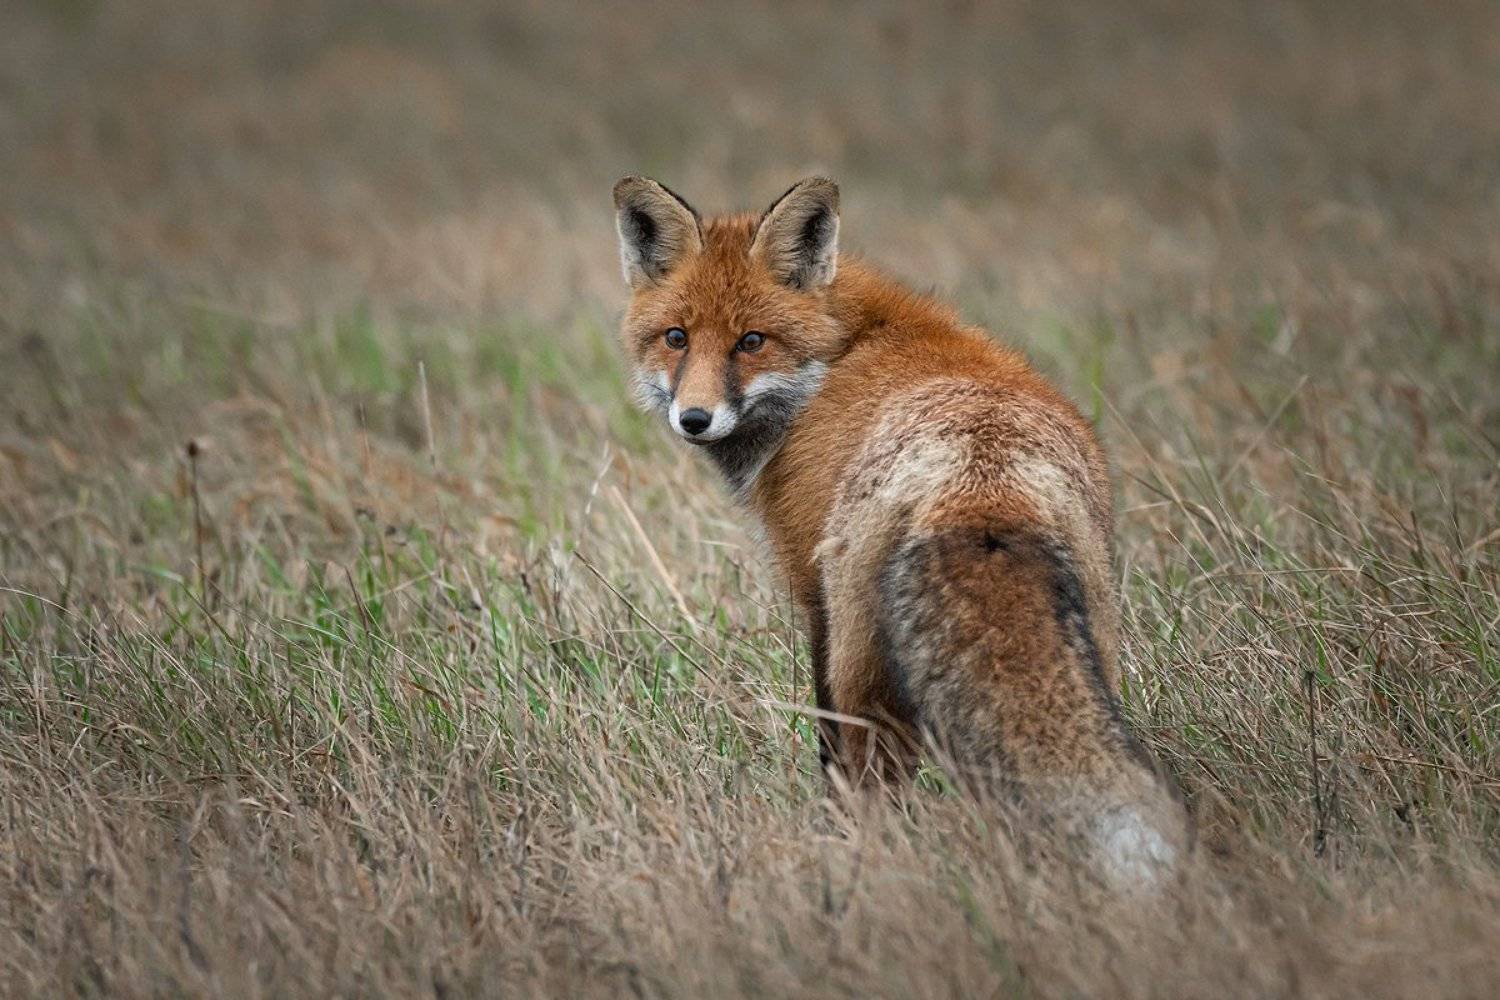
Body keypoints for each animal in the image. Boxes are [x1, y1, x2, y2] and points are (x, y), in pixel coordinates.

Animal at [613, 176, 1191, 885]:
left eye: (751, 341)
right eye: (676, 337)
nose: (694, 418)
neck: (841, 353)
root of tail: (984, 483)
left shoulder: (814, 594)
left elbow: (825, 741)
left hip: (866, 666)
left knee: (868, 775)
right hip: (1088, 651)